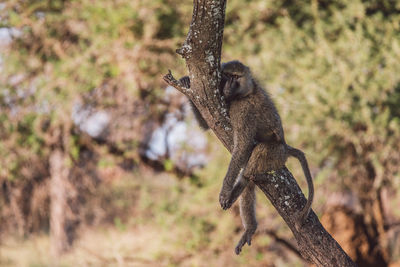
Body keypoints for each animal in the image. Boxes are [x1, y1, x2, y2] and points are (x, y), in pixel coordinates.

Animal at [180, 60, 314, 255]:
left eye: (236, 77)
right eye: (227, 75)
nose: (228, 86)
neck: (246, 92)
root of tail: (286, 147)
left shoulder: (243, 110)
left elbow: (243, 146)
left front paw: (225, 191)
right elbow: (207, 124)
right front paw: (186, 82)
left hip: (275, 153)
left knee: (256, 157)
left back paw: (238, 189)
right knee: (249, 183)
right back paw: (250, 227)